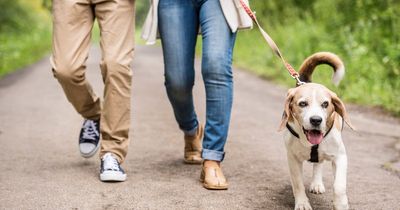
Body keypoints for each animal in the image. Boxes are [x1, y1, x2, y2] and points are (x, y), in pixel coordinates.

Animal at [278, 52, 356, 210]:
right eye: (302, 103)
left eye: (325, 104)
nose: (316, 120)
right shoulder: (292, 158)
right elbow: (298, 184)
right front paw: (302, 203)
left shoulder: (340, 157)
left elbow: (339, 186)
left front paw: (341, 204)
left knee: (318, 163)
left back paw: (317, 183)